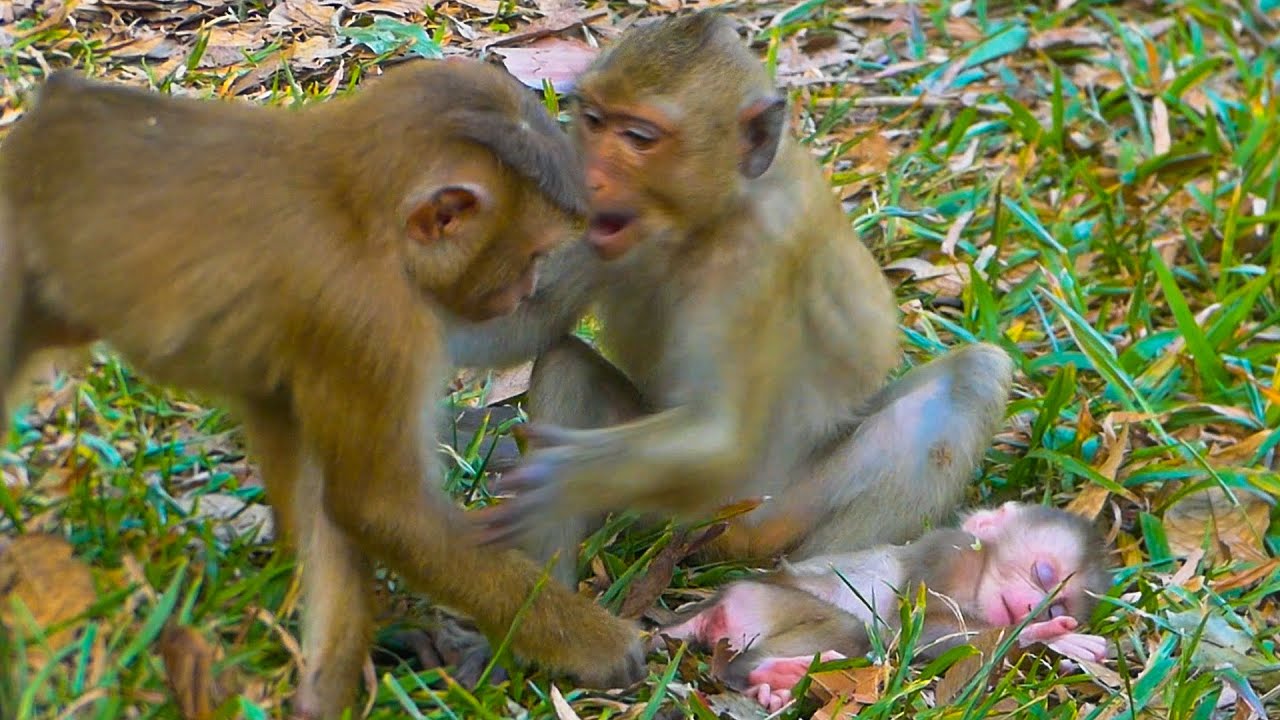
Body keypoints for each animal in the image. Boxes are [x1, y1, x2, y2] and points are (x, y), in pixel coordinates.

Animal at [0, 61, 645, 719]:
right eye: (533, 253)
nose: (527, 290)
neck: (355, 208)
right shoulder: (374, 321)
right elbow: (383, 510)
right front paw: (595, 645)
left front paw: (332, 674)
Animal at [452, 10, 1016, 583]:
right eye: (592, 120)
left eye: (638, 137)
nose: (587, 178)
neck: (703, 222)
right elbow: (530, 322)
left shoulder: (759, 255)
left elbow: (723, 441)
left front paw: (561, 479)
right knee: (565, 364)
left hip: (769, 508)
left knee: (972, 379)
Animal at [660, 502, 1113, 712]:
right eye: (1043, 573)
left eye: (1057, 606)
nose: (1035, 609)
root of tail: (720, 600)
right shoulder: (947, 553)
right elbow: (912, 625)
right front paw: (1043, 636)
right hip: (768, 601)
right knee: (850, 631)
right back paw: (766, 670)